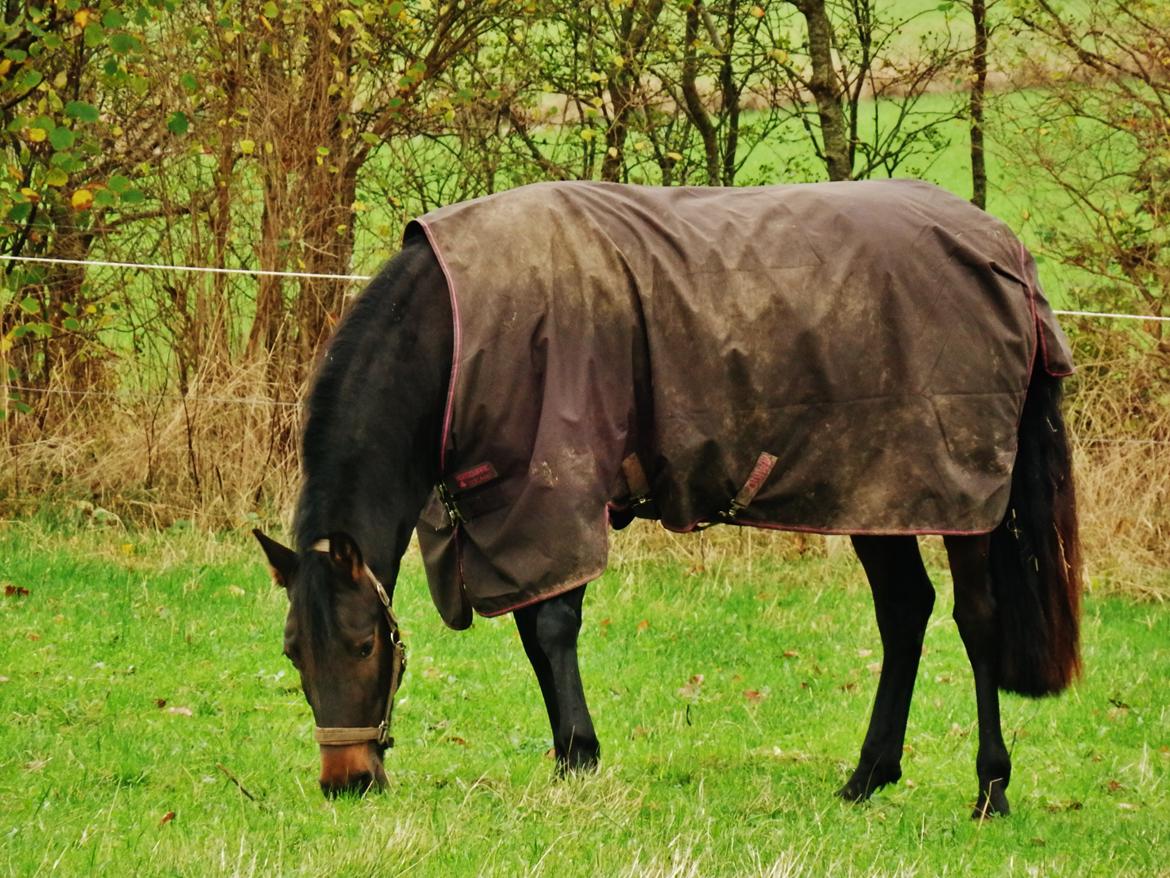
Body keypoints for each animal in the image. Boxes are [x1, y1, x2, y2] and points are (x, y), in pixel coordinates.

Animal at [253, 182, 1076, 824]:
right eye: (293, 650)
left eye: (365, 645)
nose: (347, 782)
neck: (458, 331)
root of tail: (1005, 252)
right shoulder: (508, 517)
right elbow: (533, 631)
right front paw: (569, 755)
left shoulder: (557, 488)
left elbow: (553, 627)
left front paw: (578, 758)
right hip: (877, 494)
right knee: (905, 612)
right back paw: (867, 777)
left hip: (957, 498)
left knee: (976, 622)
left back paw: (990, 788)